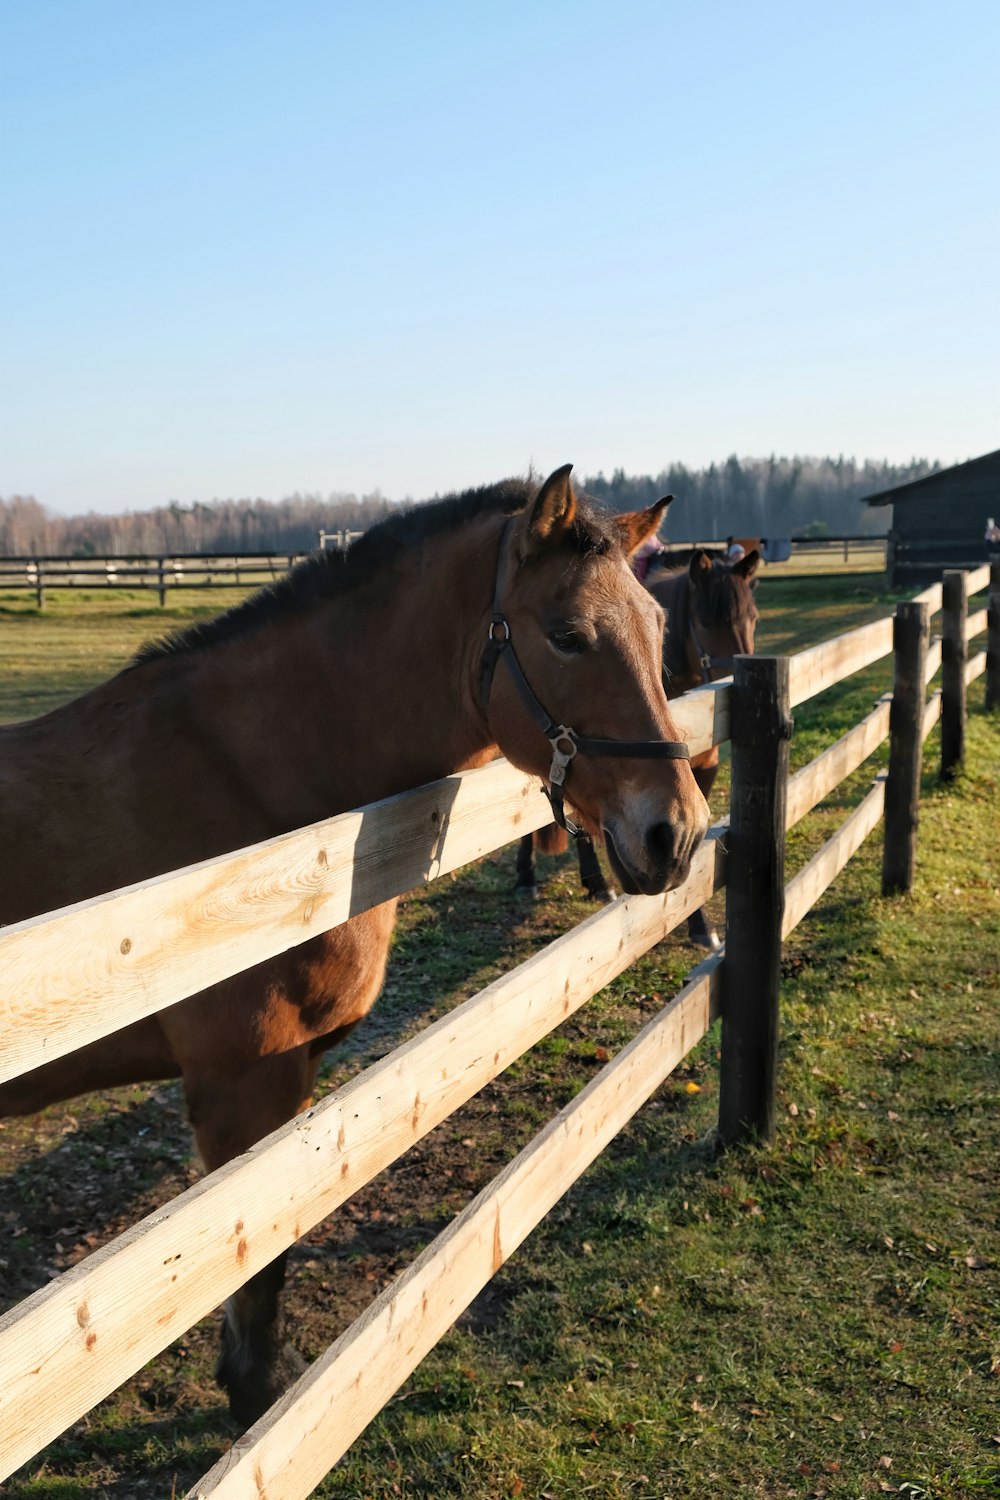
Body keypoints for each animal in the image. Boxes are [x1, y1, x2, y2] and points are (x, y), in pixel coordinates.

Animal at [0, 462, 707, 1422]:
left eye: (658, 626)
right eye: (567, 636)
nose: (676, 834)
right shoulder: (242, 1084)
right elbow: (255, 1256)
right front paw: (258, 1399)